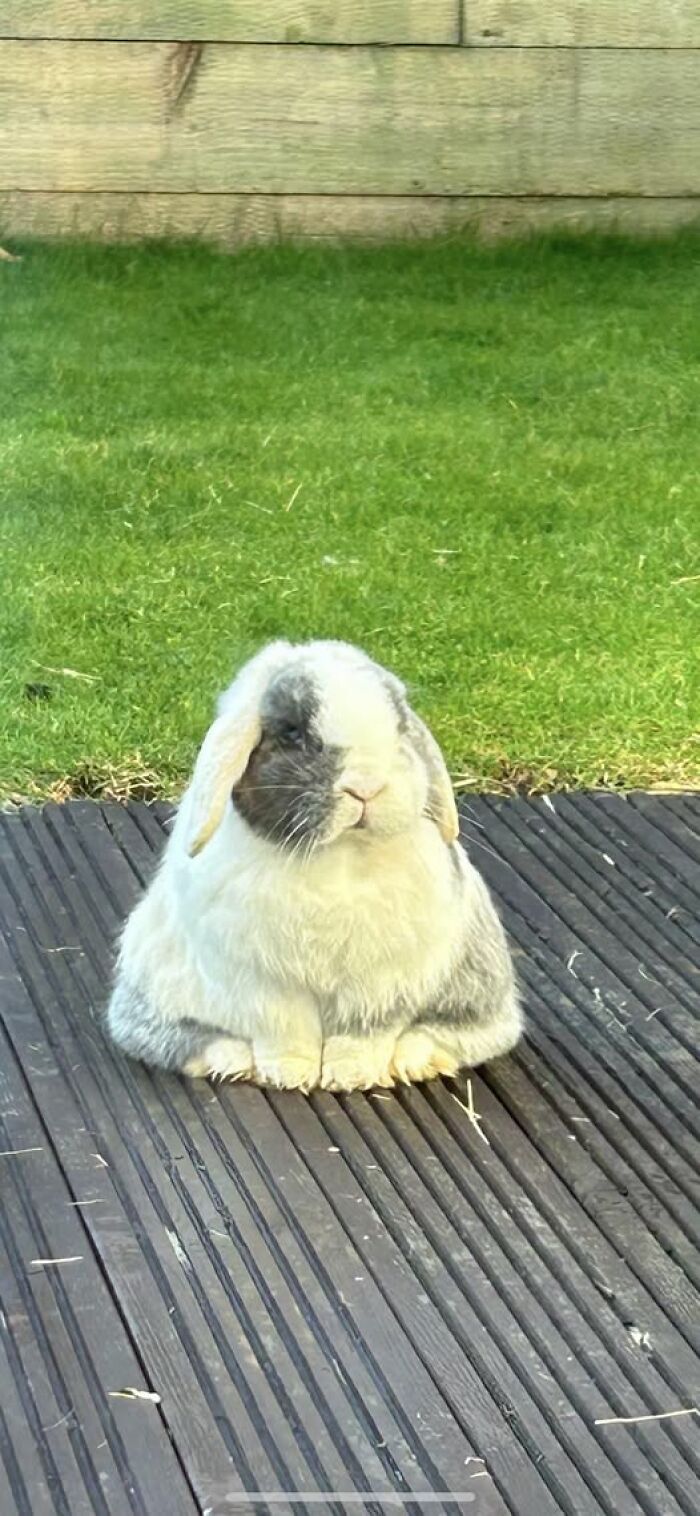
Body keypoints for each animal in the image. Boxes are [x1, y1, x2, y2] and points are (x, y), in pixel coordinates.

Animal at [106, 639, 522, 1091]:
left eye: (399, 727)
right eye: (292, 732)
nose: (367, 787)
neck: (339, 855)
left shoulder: (379, 984)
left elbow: (361, 1036)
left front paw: (351, 1076)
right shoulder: (266, 984)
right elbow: (285, 1032)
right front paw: (289, 1075)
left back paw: (412, 1062)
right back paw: (232, 1062)